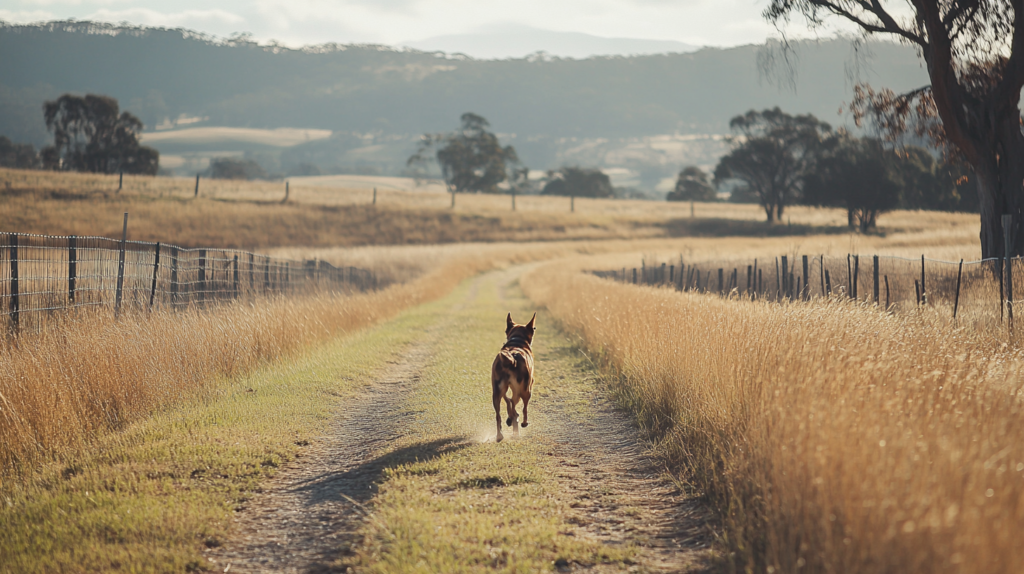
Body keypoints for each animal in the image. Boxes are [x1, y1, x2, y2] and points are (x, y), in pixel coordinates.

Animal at [493, 311, 540, 439]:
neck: (517, 341)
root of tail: (512, 358)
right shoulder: (527, 386)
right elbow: (520, 406)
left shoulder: (503, 389)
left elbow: (507, 401)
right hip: (524, 390)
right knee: (519, 405)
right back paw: (522, 422)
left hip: (497, 391)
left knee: (498, 415)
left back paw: (500, 435)